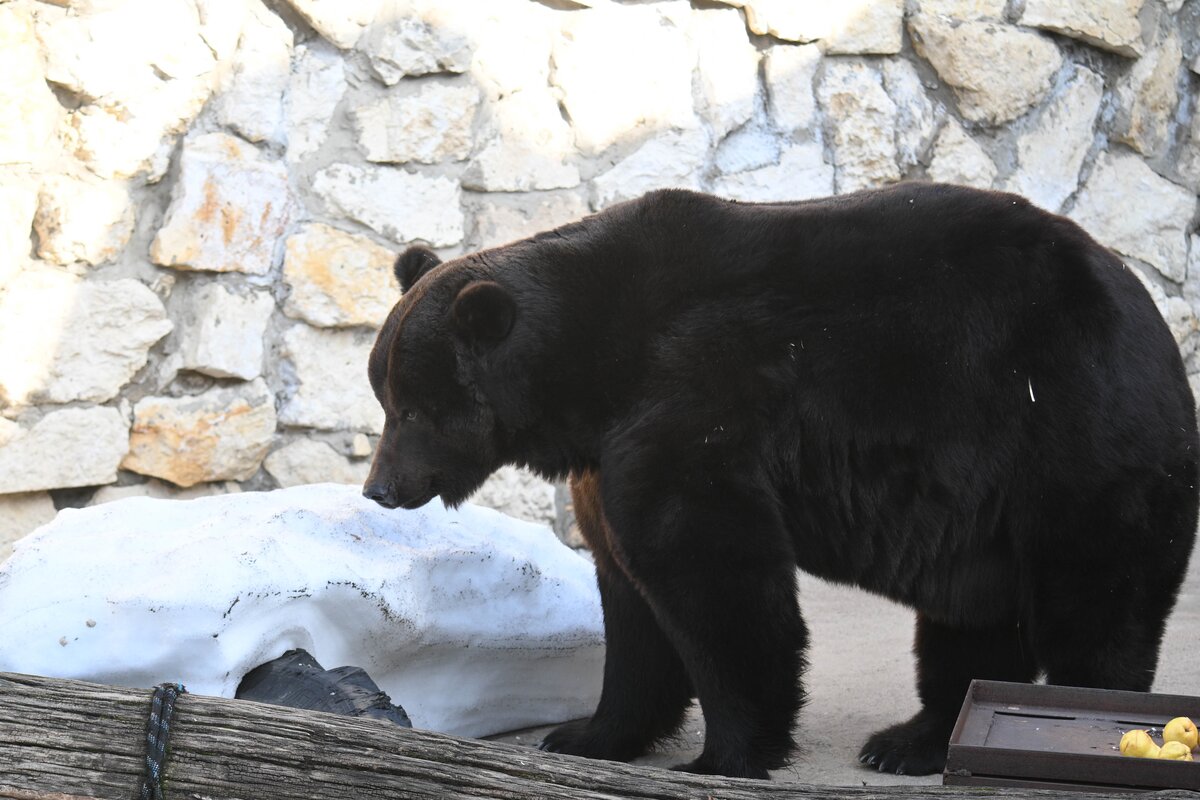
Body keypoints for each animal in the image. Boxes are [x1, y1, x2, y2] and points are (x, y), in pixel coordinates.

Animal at [364, 184, 1199, 780]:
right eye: (385, 394)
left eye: (413, 406)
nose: (380, 489)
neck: (592, 372)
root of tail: (1152, 316)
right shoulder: (604, 460)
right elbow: (629, 601)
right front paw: (587, 733)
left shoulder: (694, 394)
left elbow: (714, 577)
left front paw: (724, 754)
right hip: (982, 503)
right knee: (973, 620)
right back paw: (910, 740)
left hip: (1068, 433)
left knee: (1097, 601)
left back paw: (1083, 717)